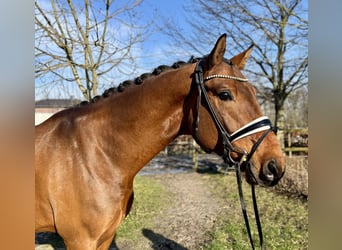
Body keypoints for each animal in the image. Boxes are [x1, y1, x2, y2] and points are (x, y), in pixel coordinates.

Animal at [35, 34, 286, 249]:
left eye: (254, 92)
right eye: (225, 94)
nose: (275, 165)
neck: (94, 154)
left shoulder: (104, 238)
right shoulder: (80, 240)